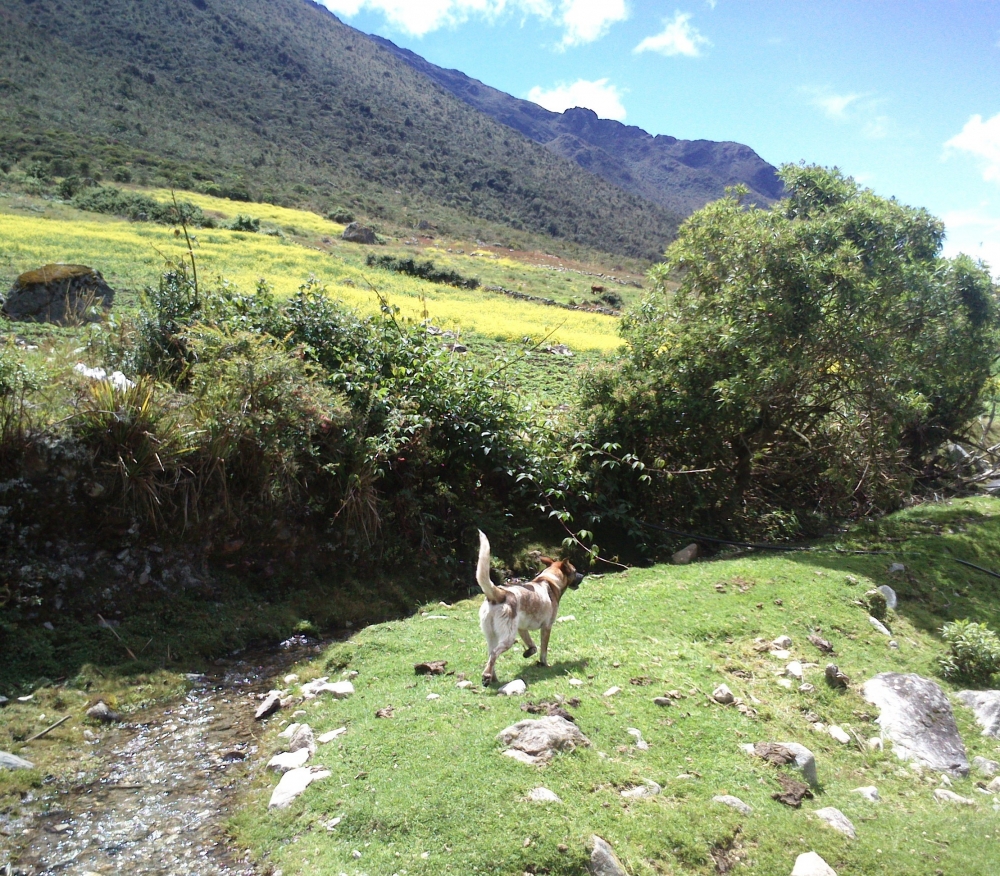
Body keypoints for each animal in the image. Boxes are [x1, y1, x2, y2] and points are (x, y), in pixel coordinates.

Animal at [478, 532, 584, 688]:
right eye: (575, 571)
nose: (583, 575)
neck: (549, 580)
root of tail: (499, 594)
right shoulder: (547, 627)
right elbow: (543, 650)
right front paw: (544, 664)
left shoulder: (522, 629)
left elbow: (533, 646)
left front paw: (528, 653)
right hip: (508, 638)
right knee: (494, 654)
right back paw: (486, 676)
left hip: (491, 635)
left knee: (490, 654)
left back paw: (492, 677)